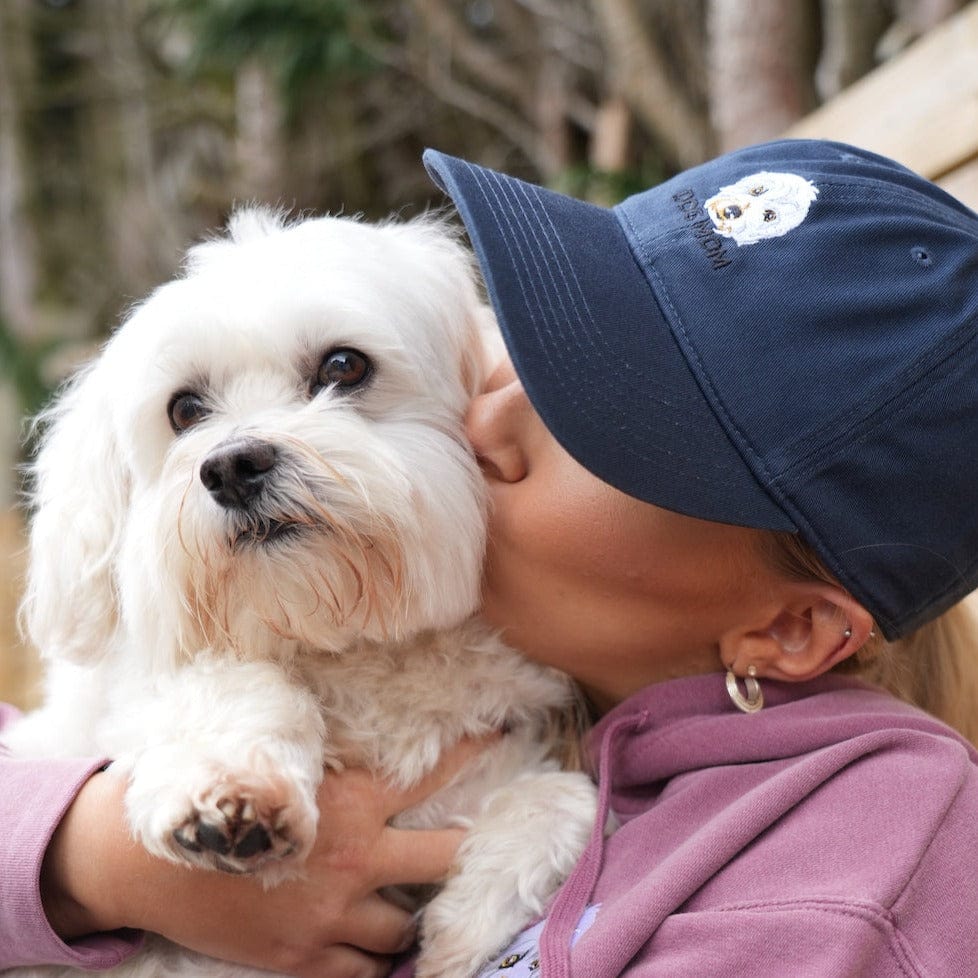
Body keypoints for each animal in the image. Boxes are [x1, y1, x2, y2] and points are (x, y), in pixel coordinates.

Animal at [5, 210, 596, 976]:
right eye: (184, 409)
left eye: (344, 367)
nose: (231, 466)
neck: (343, 646)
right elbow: (227, 681)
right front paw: (227, 788)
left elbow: (568, 798)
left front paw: (460, 933)